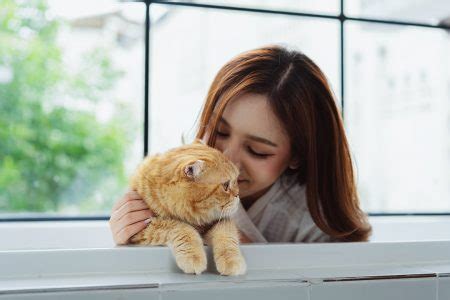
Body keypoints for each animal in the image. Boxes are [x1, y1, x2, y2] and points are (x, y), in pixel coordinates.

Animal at [128, 141, 248, 276]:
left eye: (235, 181)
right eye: (226, 185)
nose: (238, 194)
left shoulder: (222, 221)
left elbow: (226, 236)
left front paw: (231, 260)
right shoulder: (144, 229)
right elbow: (182, 228)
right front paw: (193, 256)